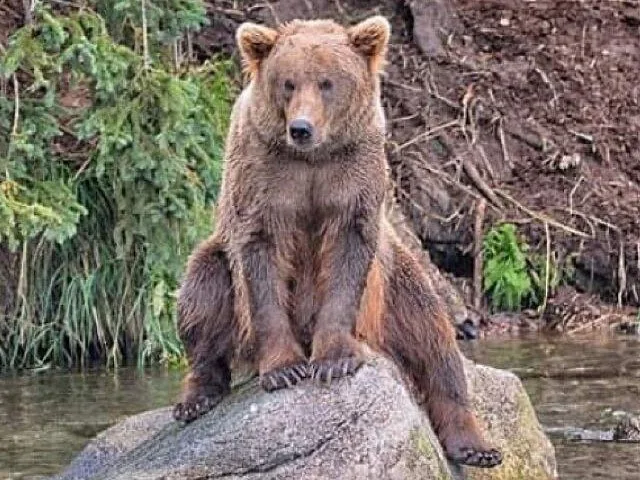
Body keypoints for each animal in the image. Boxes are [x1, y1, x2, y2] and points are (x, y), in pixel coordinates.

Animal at [173, 16, 502, 468]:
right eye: (288, 82)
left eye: (327, 82)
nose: (301, 128)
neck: (314, 157)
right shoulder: (263, 175)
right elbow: (260, 262)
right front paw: (284, 369)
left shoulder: (354, 173)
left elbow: (347, 258)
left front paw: (334, 361)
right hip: (217, 260)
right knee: (203, 290)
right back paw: (197, 397)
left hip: (396, 282)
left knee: (433, 339)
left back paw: (475, 445)